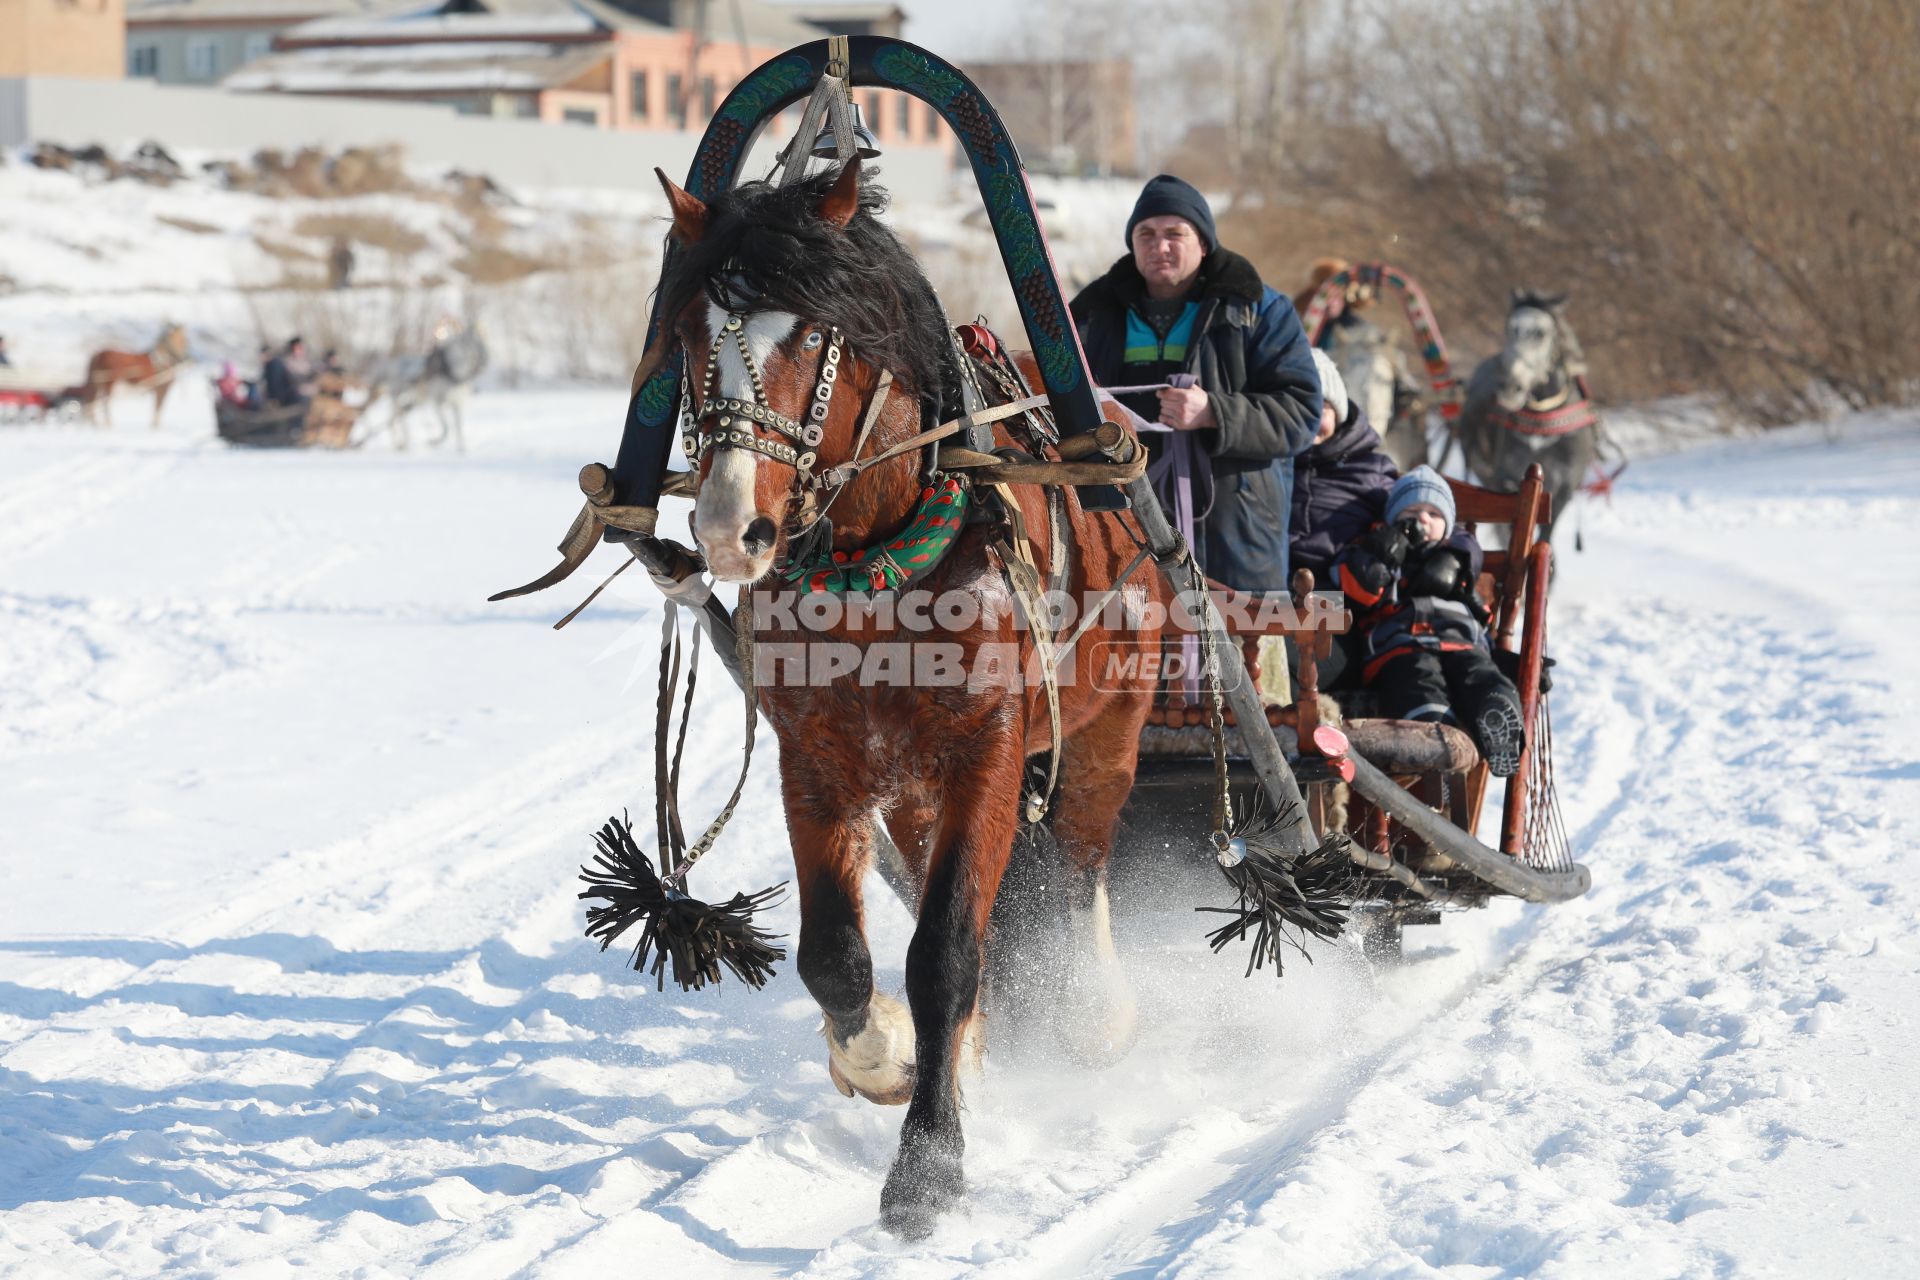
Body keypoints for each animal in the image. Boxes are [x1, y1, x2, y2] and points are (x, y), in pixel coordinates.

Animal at [660, 160, 1159, 1228]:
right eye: (684, 333)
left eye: (813, 334)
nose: (729, 527)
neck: (881, 570)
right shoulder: (817, 763)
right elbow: (833, 957)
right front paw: (886, 1059)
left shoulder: (989, 750)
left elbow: (945, 955)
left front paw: (928, 1163)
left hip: (1109, 733)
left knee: (1085, 862)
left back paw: (1097, 1011)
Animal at [1459, 289, 1597, 541]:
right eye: (1509, 328)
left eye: (1541, 333)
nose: (1509, 386)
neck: (1542, 426)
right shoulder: (1505, 481)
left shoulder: (1563, 490)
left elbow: (1545, 537)